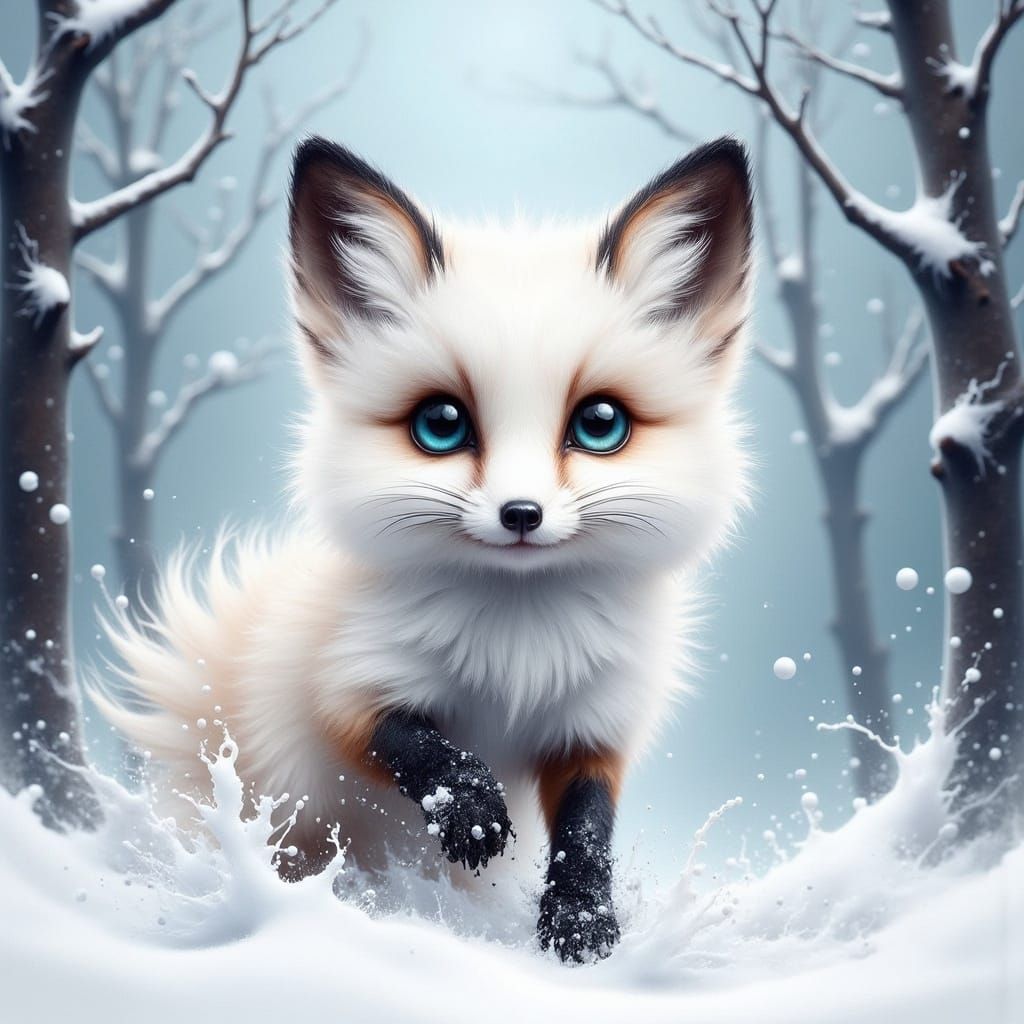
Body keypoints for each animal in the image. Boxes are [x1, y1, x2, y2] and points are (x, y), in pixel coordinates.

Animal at [96, 135, 754, 962]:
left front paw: (580, 923)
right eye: (441, 425)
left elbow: (586, 826)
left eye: (600, 423)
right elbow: (409, 743)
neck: (518, 652)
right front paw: (470, 810)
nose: (521, 513)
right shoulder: (344, 681)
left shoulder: (595, 723)